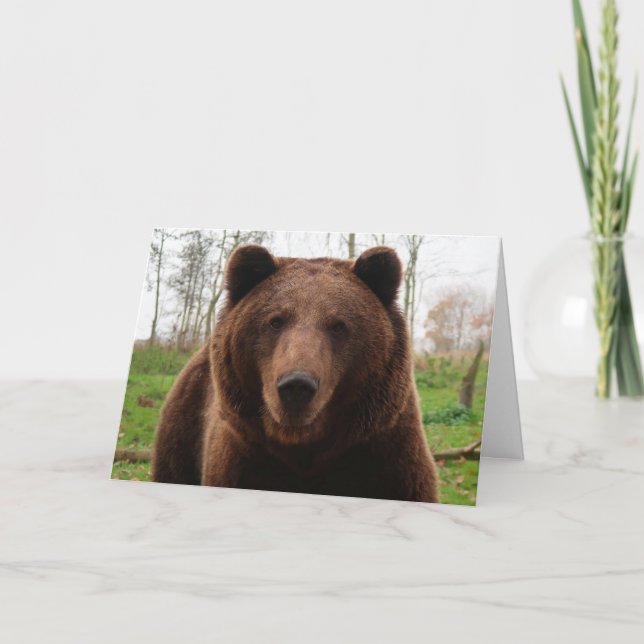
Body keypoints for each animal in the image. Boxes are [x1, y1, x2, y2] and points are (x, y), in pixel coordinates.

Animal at [152, 244, 439, 503]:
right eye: (275, 321)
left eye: (338, 325)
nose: (297, 385)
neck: (302, 448)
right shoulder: (242, 460)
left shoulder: (387, 461)